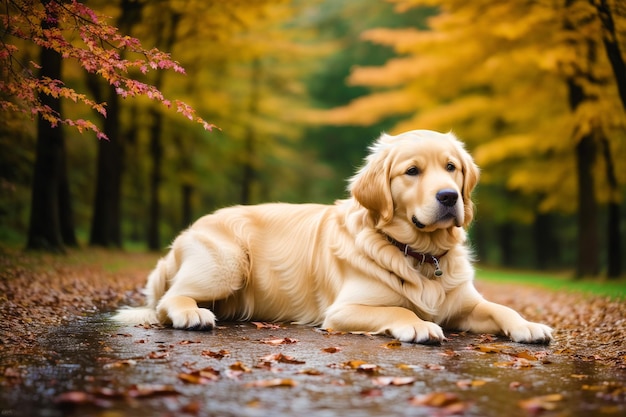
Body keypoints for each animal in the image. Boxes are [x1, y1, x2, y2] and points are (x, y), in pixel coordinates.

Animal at [113, 131, 552, 344]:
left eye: (451, 167)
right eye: (412, 171)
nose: (448, 197)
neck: (420, 253)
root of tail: (190, 229)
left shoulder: (465, 304)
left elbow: (500, 308)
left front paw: (528, 325)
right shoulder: (343, 311)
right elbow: (400, 311)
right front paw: (420, 325)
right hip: (228, 263)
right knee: (168, 301)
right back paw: (192, 314)